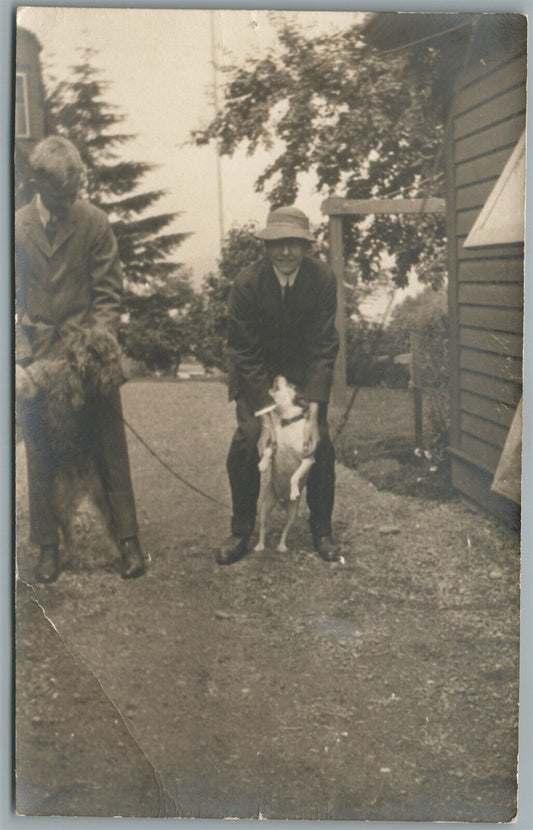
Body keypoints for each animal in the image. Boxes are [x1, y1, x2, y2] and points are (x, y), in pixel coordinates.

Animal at [255, 380, 314, 556]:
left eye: (292, 385)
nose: (278, 377)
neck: (289, 422)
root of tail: (280, 501)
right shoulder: (273, 446)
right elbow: (268, 451)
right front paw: (263, 464)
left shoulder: (308, 460)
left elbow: (295, 475)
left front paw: (294, 489)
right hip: (264, 507)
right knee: (263, 527)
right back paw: (260, 545)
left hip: (292, 514)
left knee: (285, 531)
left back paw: (282, 546)